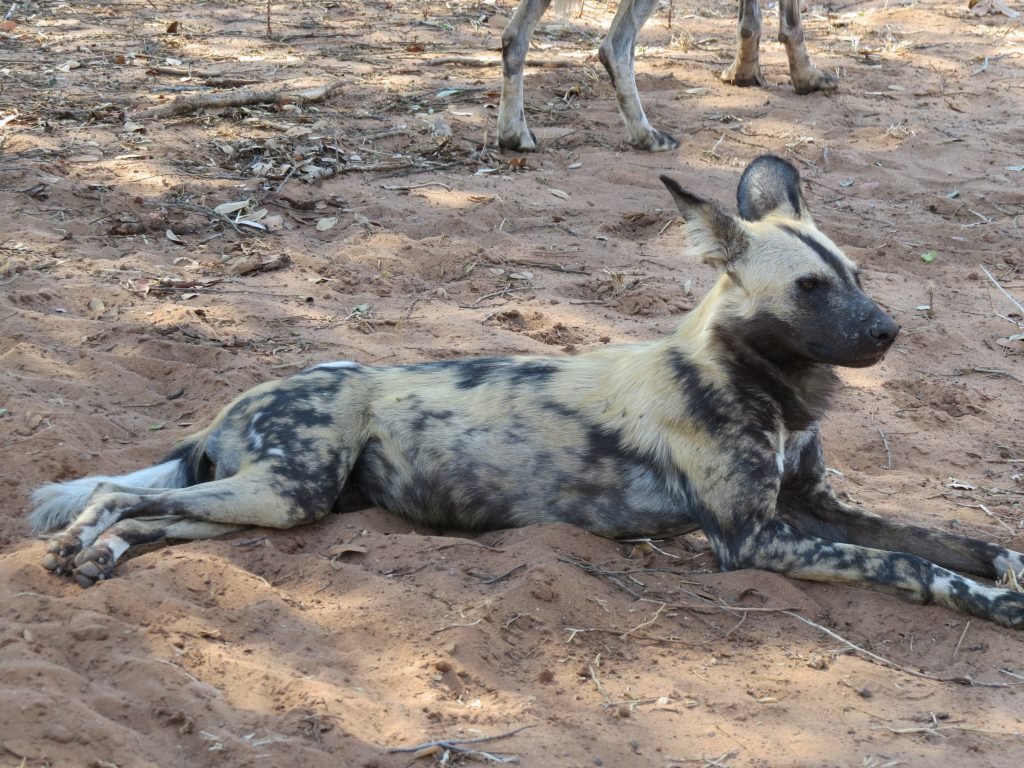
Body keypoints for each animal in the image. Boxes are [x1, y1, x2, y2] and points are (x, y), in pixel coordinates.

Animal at [28, 157, 1024, 630]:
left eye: (855, 276)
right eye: (811, 290)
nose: (889, 331)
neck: (773, 391)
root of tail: (232, 402)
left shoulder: (817, 505)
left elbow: (952, 539)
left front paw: (1006, 565)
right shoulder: (755, 539)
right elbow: (915, 566)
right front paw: (996, 604)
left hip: (275, 504)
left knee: (154, 518)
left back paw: (100, 556)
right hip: (287, 490)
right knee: (116, 491)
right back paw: (80, 545)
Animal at [497, 0, 839, 152]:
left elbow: (748, 22)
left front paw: (743, 72)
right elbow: (791, 23)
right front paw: (806, 77)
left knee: (514, 39)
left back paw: (514, 135)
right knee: (615, 47)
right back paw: (646, 136)